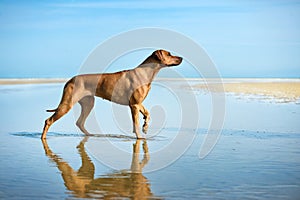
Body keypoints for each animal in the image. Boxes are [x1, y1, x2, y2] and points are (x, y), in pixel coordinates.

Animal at [42, 49, 183, 139]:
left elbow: (147, 114)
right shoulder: (134, 104)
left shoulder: (138, 103)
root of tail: (70, 80)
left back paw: (91, 135)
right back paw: (43, 138)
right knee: (48, 120)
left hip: (88, 103)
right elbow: (136, 123)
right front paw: (139, 136)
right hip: (68, 103)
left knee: (80, 122)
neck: (147, 72)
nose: (181, 58)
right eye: (169, 54)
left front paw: (145, 127)